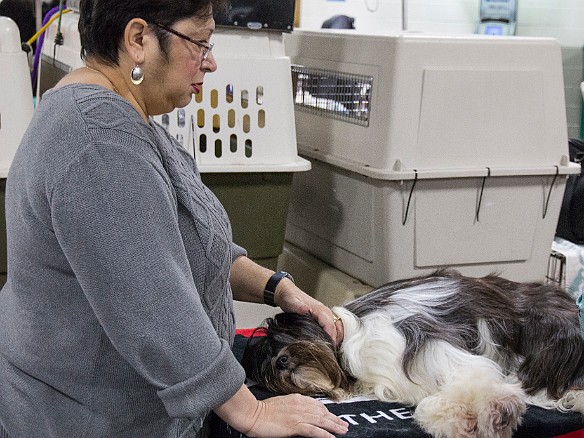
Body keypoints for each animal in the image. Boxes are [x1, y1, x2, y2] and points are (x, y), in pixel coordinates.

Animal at [242, 270, 584, 438]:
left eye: (286, 337)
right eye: (268, 366)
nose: (281, 360)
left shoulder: (422, 341)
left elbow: (474, 375)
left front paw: (494, 410)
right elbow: (427, 405)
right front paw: (460, 421)